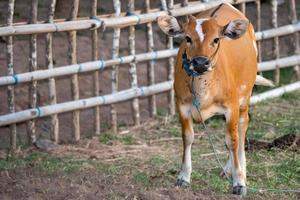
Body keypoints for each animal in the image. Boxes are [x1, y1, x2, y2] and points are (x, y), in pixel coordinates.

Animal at [158, 2, 274, 195]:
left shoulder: (231, 107)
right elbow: (187, 137)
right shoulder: (182, 105)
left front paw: (239, 182)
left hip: (245, 95)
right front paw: (184, 177)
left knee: (242, 127)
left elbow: (232, 140)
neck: (203, 92)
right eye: (187, 38)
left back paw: (238, 169)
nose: (200, 63)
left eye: (216, 40)